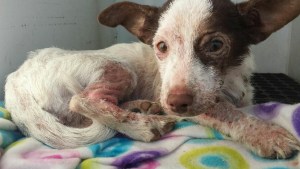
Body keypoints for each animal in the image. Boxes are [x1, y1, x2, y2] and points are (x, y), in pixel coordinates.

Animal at [4, 0, 300, 158]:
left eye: (216, 45)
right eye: (161, 46)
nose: (174, 104)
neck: (229, 80)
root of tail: (15, 80)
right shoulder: (193, 101)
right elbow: (228, 112)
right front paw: (267, 135)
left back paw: (143, 108)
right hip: (118, 69)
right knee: (84, 101)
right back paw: (144, 124)